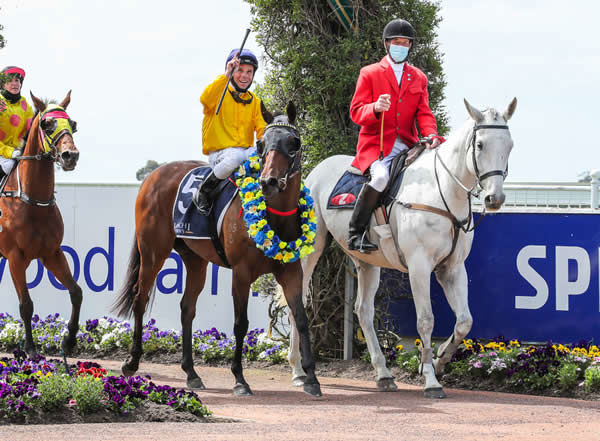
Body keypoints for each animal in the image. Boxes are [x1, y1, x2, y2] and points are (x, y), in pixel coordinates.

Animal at [0, 91, 81, 356]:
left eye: (73, 124)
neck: (33, 201)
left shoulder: (51, 253)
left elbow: (76, 292)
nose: (70, 156)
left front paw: (69, 340)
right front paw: (30, 348)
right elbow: (26, 304)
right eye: (47, 124)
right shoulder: (15, 257)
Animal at [110, 102, 322, 396]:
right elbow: (241, 324)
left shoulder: (291, 272)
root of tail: (154, 175)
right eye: (260, 144)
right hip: (153, 252)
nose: (268, 181)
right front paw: (240, 379)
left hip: (195, 259)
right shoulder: (241, 274)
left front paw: (311, 378)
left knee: (187, 308)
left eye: (294, 143)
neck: (275, 216)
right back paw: (131, 362)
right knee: (140, 298)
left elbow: (301, 319)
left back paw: (191, 373)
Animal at [288, 98, 516, 398]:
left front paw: (440, 360)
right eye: (480, 145)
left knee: (363, 311)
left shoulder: (453, 268)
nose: (495, 198)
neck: (441, 191)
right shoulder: (419, 267)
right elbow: (426, 320)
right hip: (310, 252)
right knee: (298, 300)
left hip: (367, 262)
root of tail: (316, 170)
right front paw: (431, 379)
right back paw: (298, 371)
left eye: (510, 145)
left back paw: (383, 374)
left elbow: (464, 322)